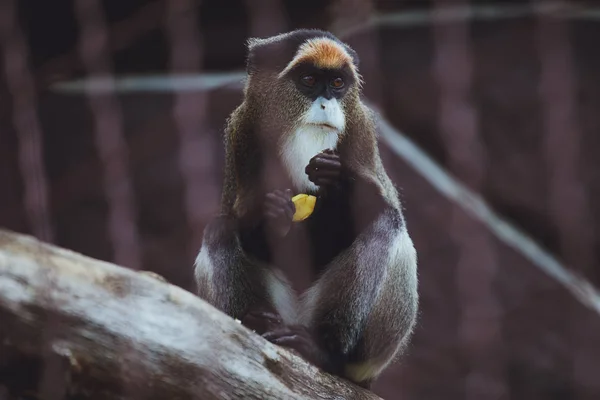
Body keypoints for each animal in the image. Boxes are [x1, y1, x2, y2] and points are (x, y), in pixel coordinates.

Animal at [195, 27, 420, 388]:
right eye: (310, 80)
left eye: (338, 83)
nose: (327, 104)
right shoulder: (242, 134)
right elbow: (246, 230)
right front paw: (272, 216)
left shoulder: (362, 134)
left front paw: (338, 182)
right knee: (220, 230)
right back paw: (254, 325)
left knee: (385, 221)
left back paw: (324, 352)